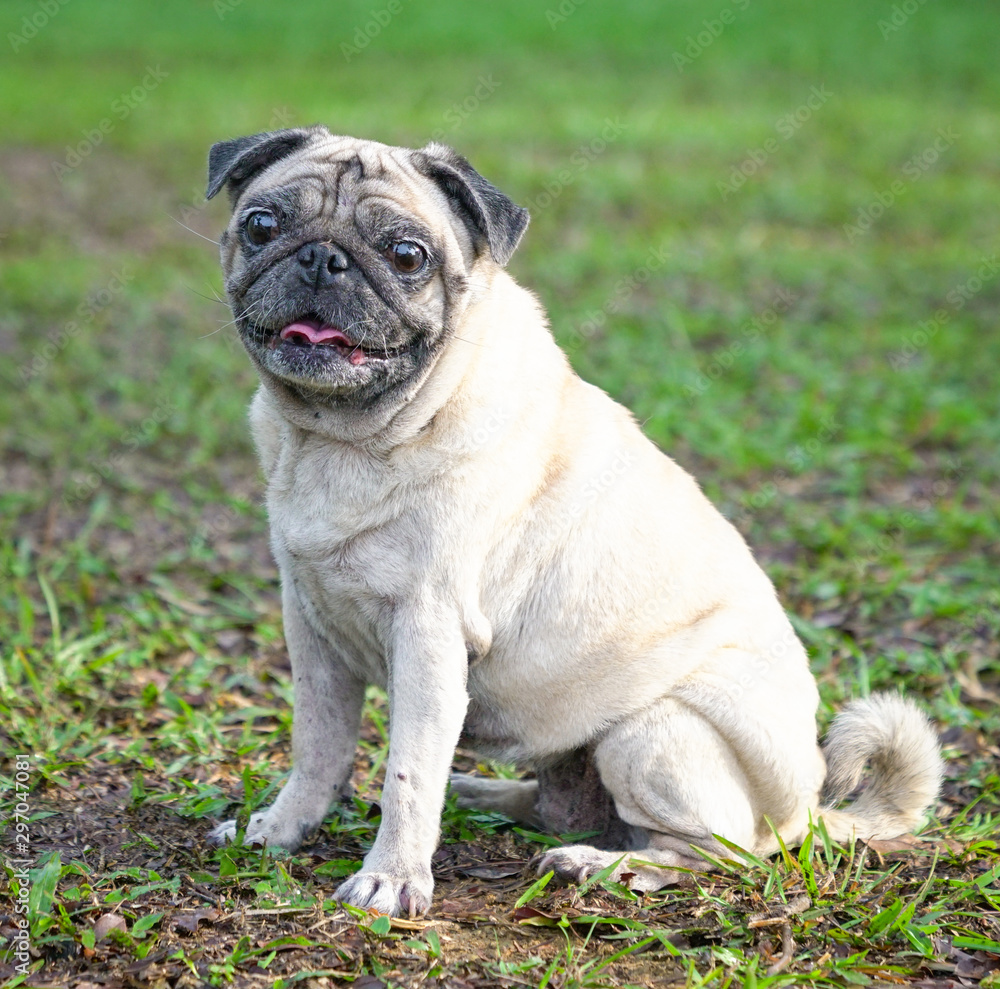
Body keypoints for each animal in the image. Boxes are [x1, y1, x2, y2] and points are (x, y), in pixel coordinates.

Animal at [205, 129, 944, 920]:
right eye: (262, 226)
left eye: (406, 255)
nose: (321, 257)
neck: (340, 438)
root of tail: (806, 811)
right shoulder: (312, 628)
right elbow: (316, 747)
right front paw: (281, 828)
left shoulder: (430, 636)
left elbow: (408, 772)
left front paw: (392, 877)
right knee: (550, 803)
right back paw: (483, 792)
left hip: (650, 735)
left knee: (714, 854)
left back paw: (602, 866)